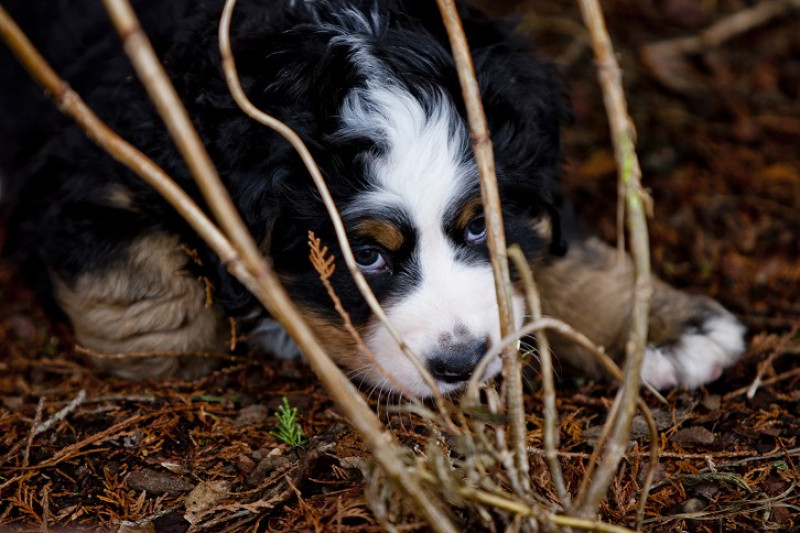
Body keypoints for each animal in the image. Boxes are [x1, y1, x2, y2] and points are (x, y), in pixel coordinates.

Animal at [0, 0, 746, 397]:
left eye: (478, 228)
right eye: (364, 255)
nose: (460, 364)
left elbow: (551, 251)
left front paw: (668, 327)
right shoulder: (85, 168)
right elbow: (166, 311)